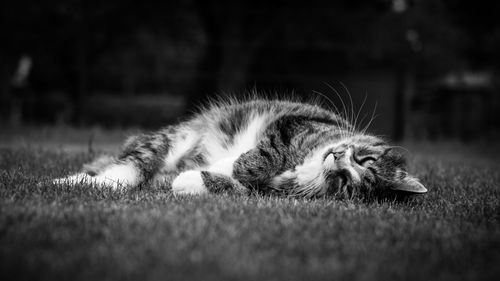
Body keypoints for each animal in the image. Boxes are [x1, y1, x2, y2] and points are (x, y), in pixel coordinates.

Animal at [55, 98, 430, 197]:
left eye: (346, 183)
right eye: (363, 158)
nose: (337, 156)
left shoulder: (274, 191)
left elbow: (236, 184)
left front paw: (189, 181)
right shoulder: (293, 124)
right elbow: (265, 151)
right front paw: (241, 164)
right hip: (165, 142)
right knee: (126, 170)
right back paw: (62, 182)